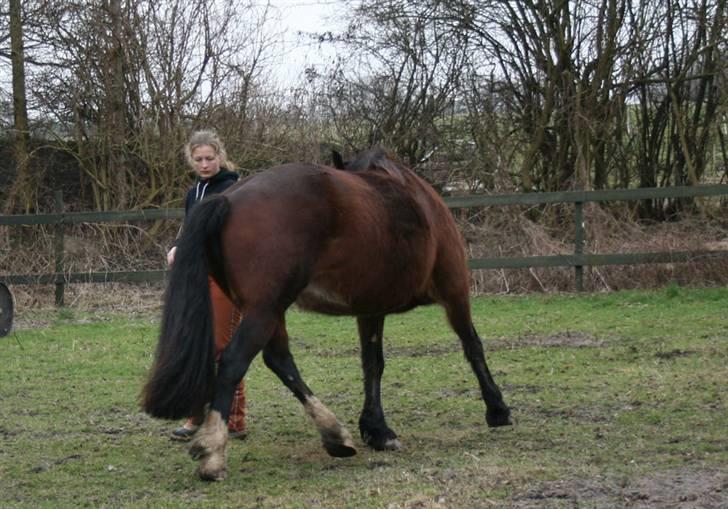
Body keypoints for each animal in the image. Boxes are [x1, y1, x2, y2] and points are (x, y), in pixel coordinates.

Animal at [139, 148, 510, 480]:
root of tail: (229, 200)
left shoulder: (371, 309)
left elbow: (372, 364)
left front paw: (377, 429)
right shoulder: (455, 290)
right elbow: (472, 345)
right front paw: (497, 410)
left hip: (268, 310)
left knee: (280, 360)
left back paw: (335, 436)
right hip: (264, 310)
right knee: (234, 361)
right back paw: (213, 453)